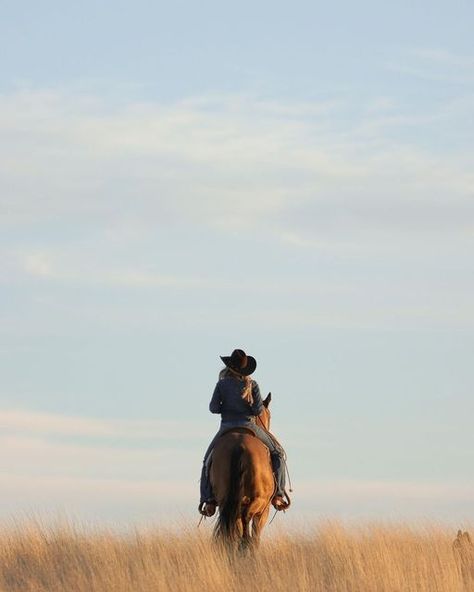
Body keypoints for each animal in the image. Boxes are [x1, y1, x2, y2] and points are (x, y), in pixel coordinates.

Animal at [209, 394, 276, 552]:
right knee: (246, 527)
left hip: (226, 501)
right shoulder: (264, 510)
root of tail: (239, 445)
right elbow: (256, 534)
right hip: (258, 501)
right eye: (269, 416)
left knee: (232, 529)